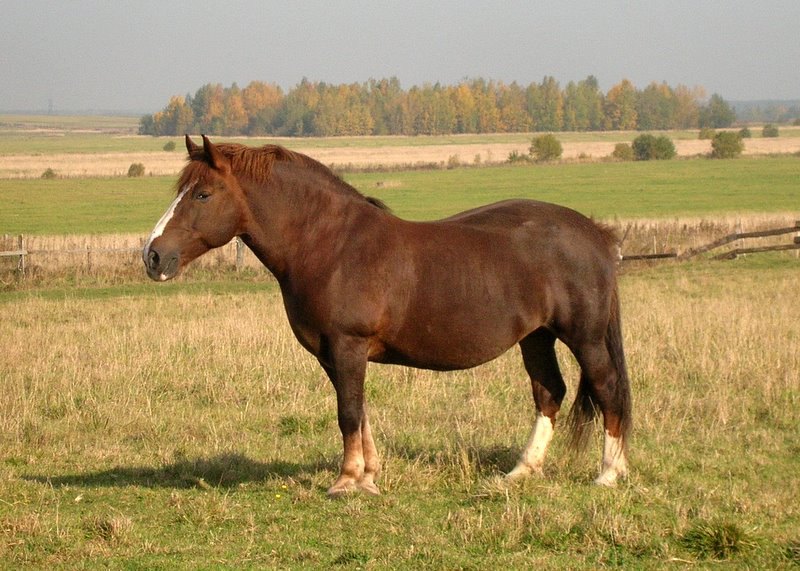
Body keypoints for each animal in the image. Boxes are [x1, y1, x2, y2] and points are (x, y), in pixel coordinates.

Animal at [142, 136, 632, 498]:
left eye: (203, 194)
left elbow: (347, 413)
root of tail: (596, 234)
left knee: (607, 389)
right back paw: (521, 471)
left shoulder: (348, 345)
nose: (153, 256)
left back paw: (609, 473)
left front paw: (346, 481)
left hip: (585, 338)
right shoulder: (334, 355)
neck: (330, 244)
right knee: (549, 392)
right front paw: (369, 474)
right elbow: (358, 410)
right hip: (536, 336)